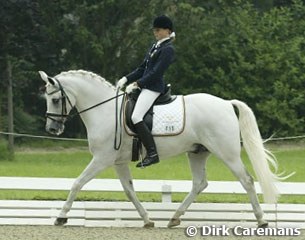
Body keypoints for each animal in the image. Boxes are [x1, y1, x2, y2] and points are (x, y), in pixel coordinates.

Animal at [39, 70, 280, 229]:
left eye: (55, 99)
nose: (52, 129)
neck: (105, 110)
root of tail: (227, 103)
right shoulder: (118, 162)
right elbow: (129, 191)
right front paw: (147, 220)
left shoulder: (102, 159)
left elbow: (77, 183)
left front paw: (61, 216)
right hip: (197, 152)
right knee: (199, 183)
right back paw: (174, 218)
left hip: (226, 153)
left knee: (246, 180)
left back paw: (262, 220)